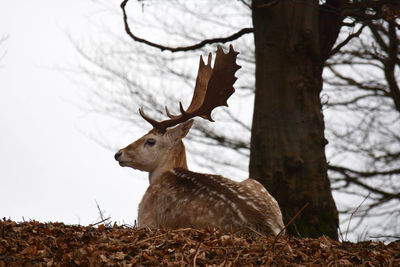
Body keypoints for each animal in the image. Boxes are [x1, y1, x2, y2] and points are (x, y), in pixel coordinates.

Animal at [114, 45, 284, 238]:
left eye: (150, 141)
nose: (119, 153)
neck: (163, 174)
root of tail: (267, 228)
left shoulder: (145, 215)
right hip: (258, 185)